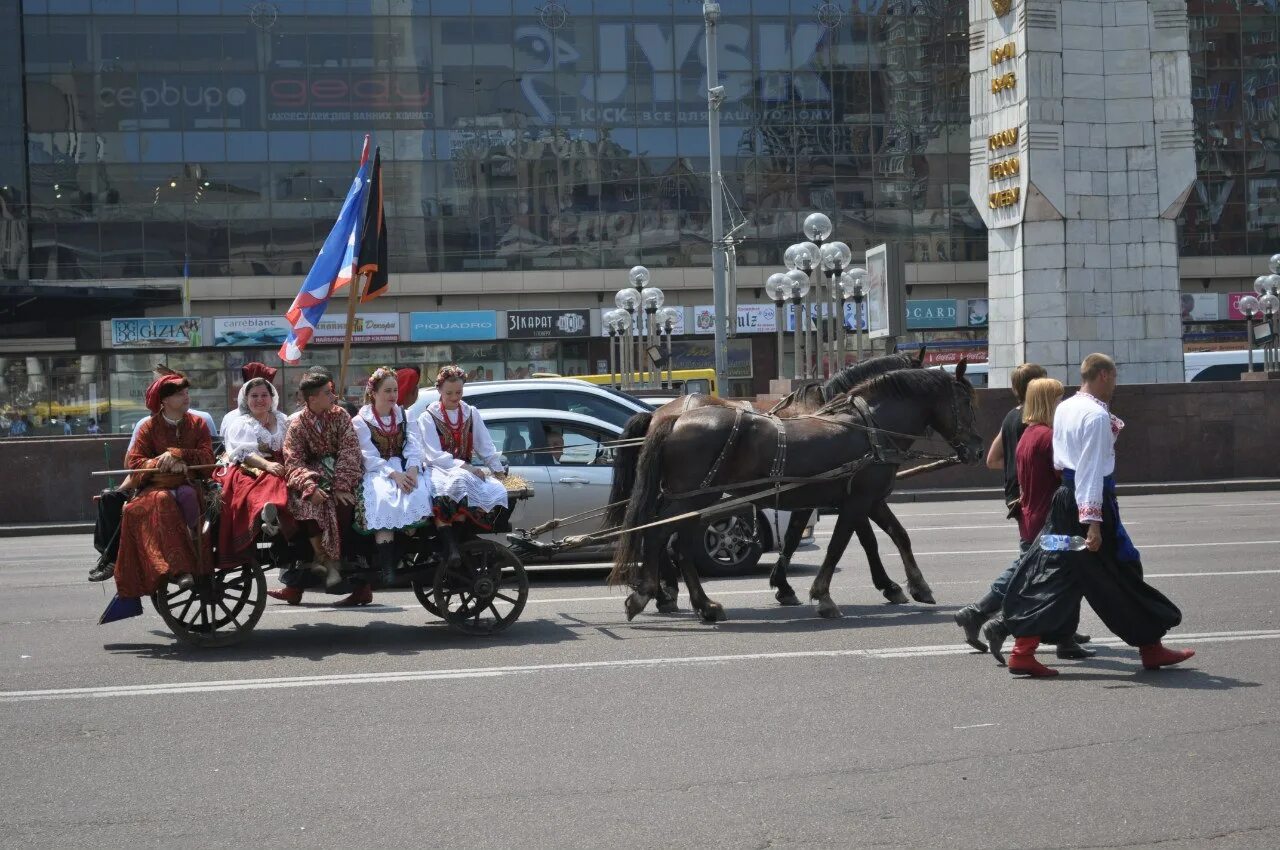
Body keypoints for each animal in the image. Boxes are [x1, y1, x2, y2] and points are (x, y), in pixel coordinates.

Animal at [606, 366, 977, 624]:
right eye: (966, 401)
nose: (974, 448)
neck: (869, 427)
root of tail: (671, 418)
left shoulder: (868, 499)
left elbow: (896, 535)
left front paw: (916, 586)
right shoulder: (857, 501)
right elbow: (841, 544)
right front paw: (824, 596)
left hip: (693, 500)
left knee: (676, 543)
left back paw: (701, 604)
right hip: (691, 498)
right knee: (660, 535)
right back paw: (648, 595)